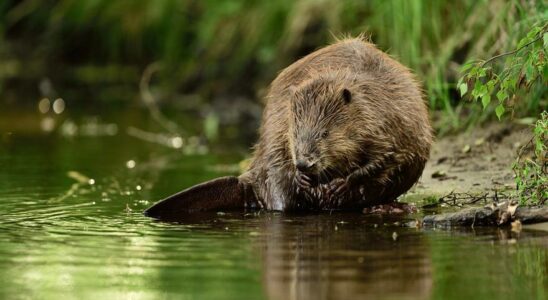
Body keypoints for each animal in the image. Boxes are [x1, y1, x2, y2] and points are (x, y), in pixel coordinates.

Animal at [144, 37, 432, 218]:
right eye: (296, 133)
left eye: (325, 133)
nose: (304, 163)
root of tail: (246, 180)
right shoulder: (283, 123)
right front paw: (307, 181)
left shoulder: (388, 118)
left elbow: (388, 158)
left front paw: (340, 186)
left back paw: (391, 207)